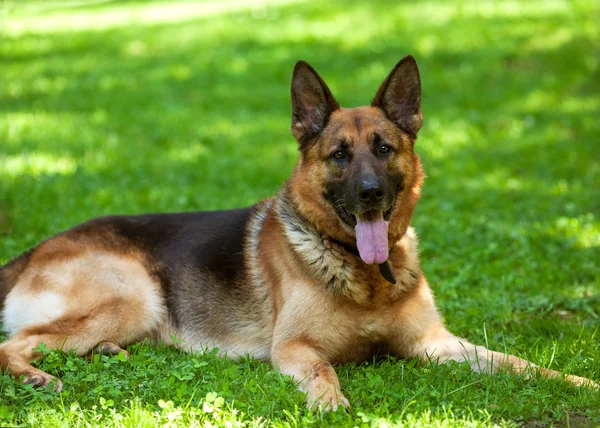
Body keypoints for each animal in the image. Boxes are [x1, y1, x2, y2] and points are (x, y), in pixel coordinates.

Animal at [0, 55, 596, 410]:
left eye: (384, 148)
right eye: (339, 156)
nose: (370, 192)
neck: (365, 274)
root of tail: (36, 249)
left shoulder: (436, 344)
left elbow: (520, 364)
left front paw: (579, 383)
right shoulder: (294, 348)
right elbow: (326, 373)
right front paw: (332, 408)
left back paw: (104, 354)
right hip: (134, 296)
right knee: (15, 342)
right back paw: (35, 377)